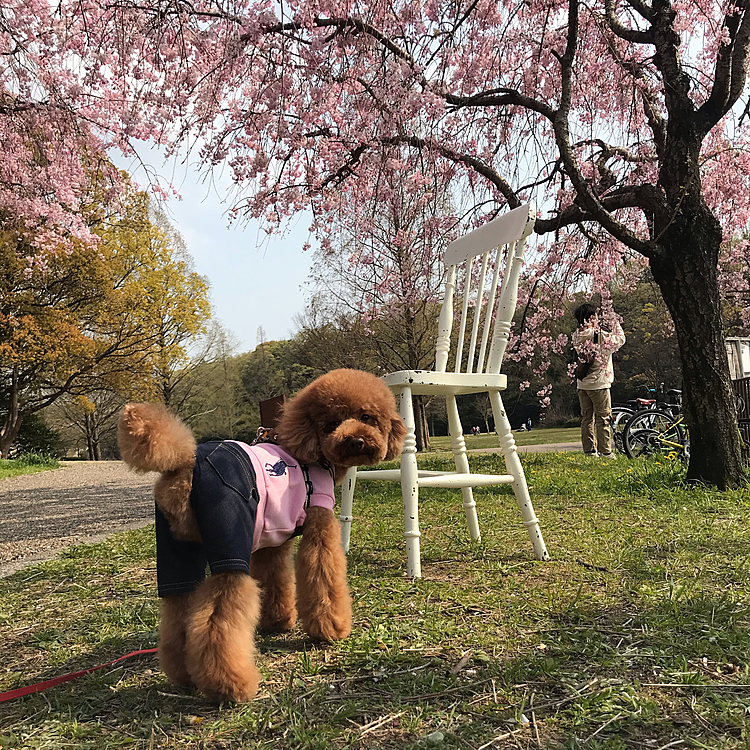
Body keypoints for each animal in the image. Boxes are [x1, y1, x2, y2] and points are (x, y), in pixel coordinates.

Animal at [117, 370, 406, 704]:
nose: (357, 440)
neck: (312, 454)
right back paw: (228, 685)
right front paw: (331, 629)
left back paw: (183, 674)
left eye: (366, 417)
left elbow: (274, 580)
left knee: (178, 609)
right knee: (219, 614)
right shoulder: (320, 526)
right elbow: (323, 576)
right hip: (230, 537)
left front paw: (277, 622)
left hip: (176, 549)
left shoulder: (272, 541)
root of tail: (186, 463)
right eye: (331, 423)